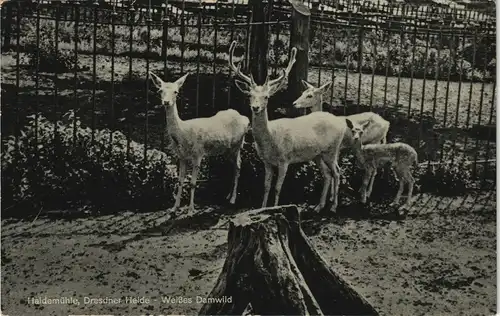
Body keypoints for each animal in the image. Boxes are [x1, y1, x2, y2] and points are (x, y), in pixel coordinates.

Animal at [148, 73, 250, 214]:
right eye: (160, 90)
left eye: (176, 91)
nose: (166, 102)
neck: (182, 134)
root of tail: (245, 119)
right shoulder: (181, 156)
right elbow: (180, 181)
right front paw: (174, 208)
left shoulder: (198, 153)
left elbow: (192, 183)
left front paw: (191, 209)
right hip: (227, 150)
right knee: (234, 166)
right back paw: (228, 195)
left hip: (237, 145)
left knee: (239, 165)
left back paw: (233, 199)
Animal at [228, 40, 348, 212]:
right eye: (250, 95)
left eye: (267, 96)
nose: (255, 107)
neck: (271, 139)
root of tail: (340, 122)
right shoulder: (266, 162)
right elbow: (266, 186)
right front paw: (262, 208)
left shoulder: (285, 160)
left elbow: (278, 188)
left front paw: (276, 207)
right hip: (318, 154)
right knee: (327, 174)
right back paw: (318, 206)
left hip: (332, 150)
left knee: (337, 172)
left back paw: (333, 207)